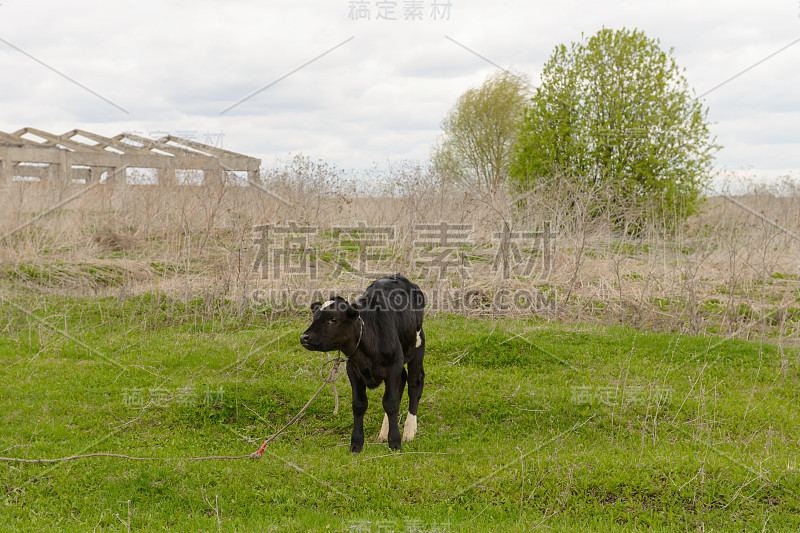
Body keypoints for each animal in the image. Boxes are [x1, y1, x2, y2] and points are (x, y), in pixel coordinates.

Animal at [300, 274, 424, 454]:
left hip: (417, 346)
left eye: (334, 319)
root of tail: (397, 276)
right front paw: (356, 443)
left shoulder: (393, 366)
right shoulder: (353, 369)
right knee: (402, 380)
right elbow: (359, 405)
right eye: (314, 317)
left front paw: (395, 442)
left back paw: (409, 431)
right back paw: (384, 431)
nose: (304, 337)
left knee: (414, 383)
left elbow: (391, 403)